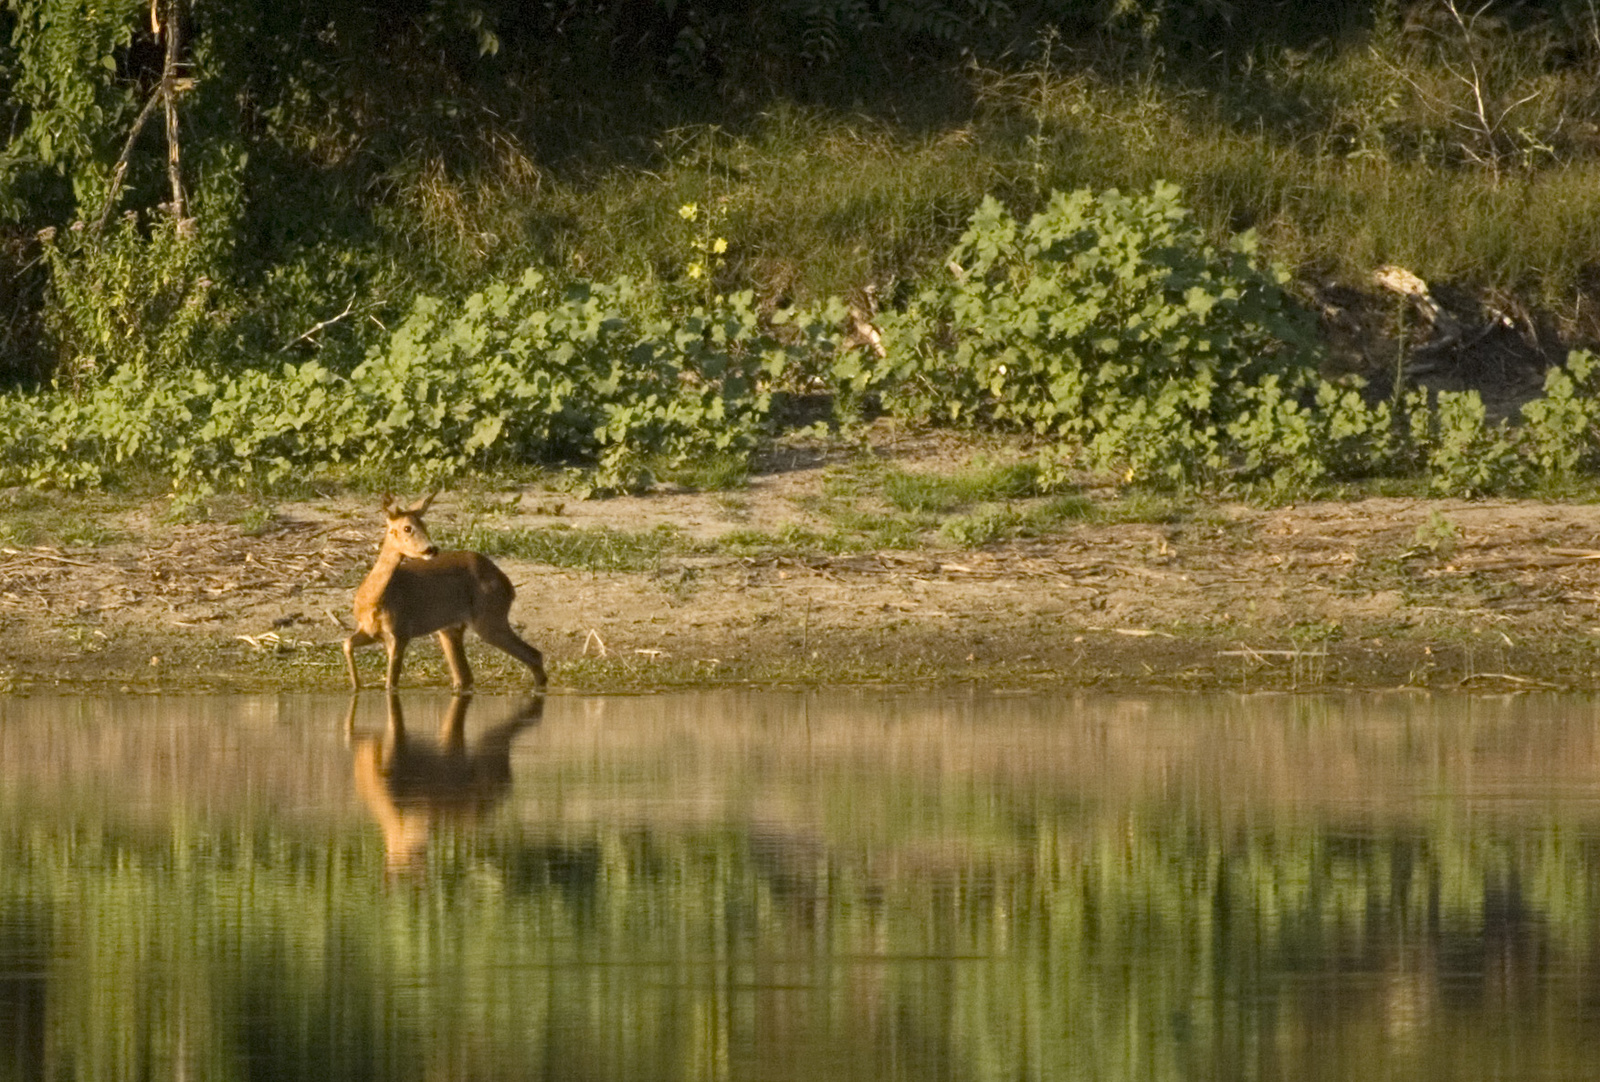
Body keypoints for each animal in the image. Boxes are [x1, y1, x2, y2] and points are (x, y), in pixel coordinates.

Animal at [344, 492, 550, 688]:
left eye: (424, 524)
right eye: (407, 528)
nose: (431, 549)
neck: (374, 600)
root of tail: (508, 585)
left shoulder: (400, 633)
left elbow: (391, 683)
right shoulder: (370, 630)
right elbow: (347, 644)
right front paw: (356, 686)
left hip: (489, 619)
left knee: (534, 655)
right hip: (452, 629)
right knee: (464, 676)